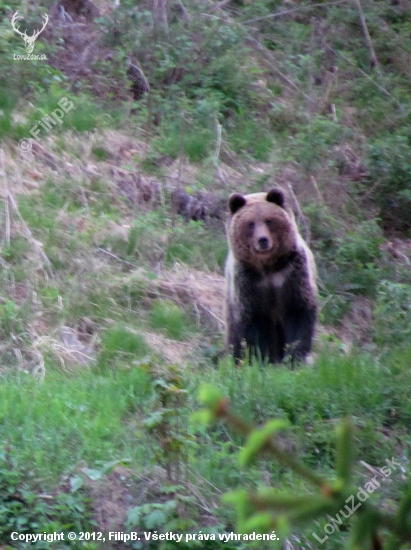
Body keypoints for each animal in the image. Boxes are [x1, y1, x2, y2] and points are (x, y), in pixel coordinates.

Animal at [225, 188, 318, 364]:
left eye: (268, 220)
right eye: (250, 223)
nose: (263, 240)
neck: (269, 266)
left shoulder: (292, 272)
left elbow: (298, 310)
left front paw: (295, 356)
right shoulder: (249, 280)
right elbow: (254, 321)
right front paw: (261, 358)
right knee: (234, 340)